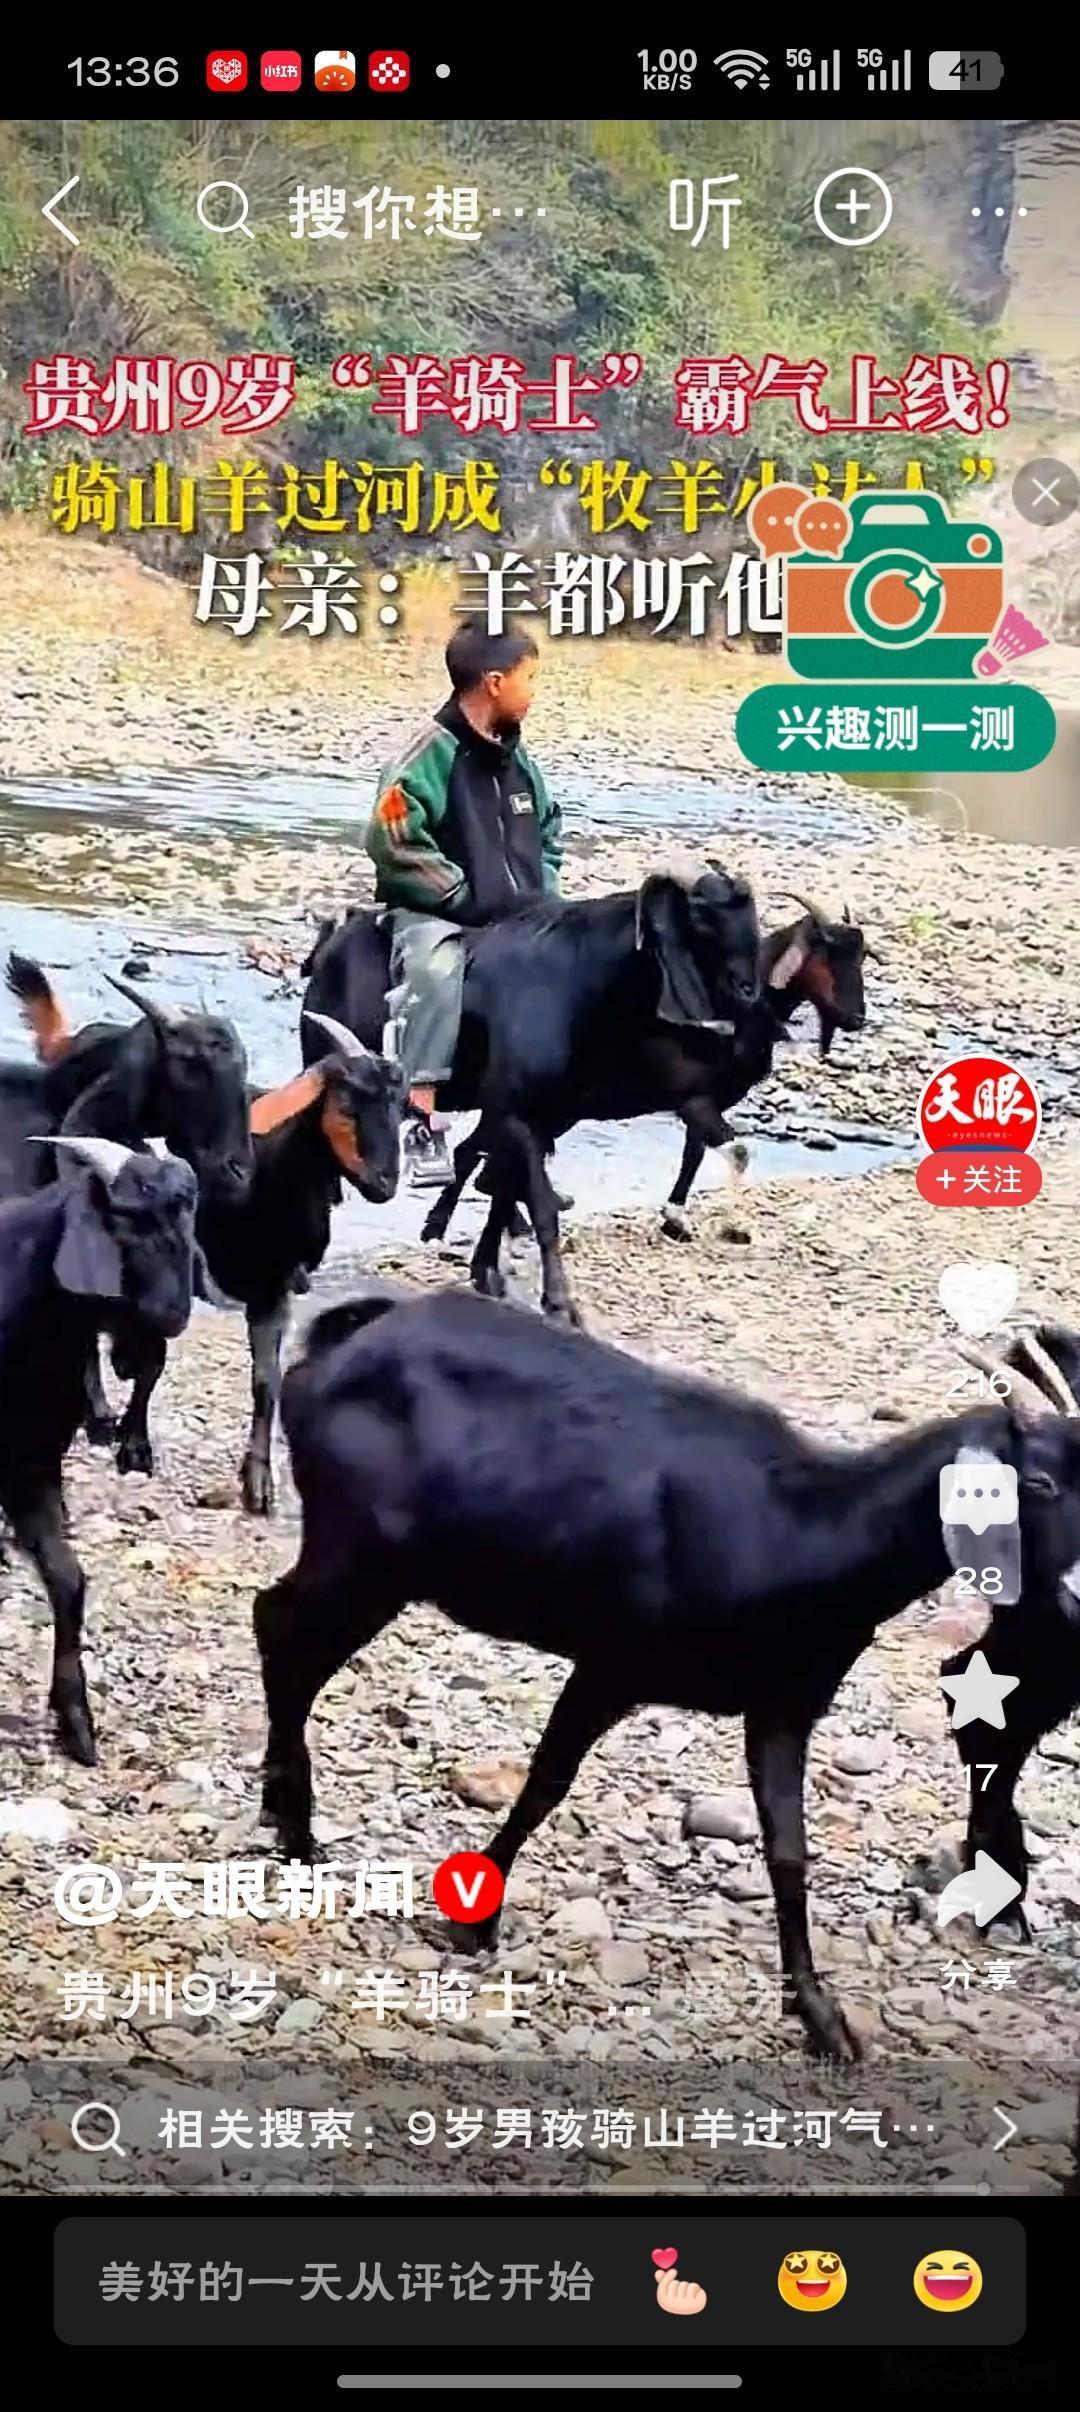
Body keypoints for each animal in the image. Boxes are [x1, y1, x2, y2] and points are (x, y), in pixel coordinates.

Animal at [0, 1135, 197, 1762]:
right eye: (127, 1219)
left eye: (189, 1217)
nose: (168, 1317)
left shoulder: (31, 1461)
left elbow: (69, 1580)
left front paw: (76, 1721)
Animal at [253, 1285, 1080, 2062]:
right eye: (1036, 1484)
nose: (1074, 1595)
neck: (804, 1522)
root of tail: (345, 1343)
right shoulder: (614, 1662)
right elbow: (545, 1785)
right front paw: (476, 1918)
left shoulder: (784, 1702)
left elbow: (788, 1850)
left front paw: (820, 2016)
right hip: (362, 1549)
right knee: (281, 1630)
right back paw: (297, 1832)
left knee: (284, 1634)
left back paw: (282, 1813)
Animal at [301, 868, 761, 1323]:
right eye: (703, 920)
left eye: (752, 919)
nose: (749, 989)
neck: (580, 991)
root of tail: (334, 937)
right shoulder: (517, 1114)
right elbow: (538, 1203)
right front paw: (558, 1302)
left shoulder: (547, 1117)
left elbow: (504, 1188)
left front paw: (485, 1270)